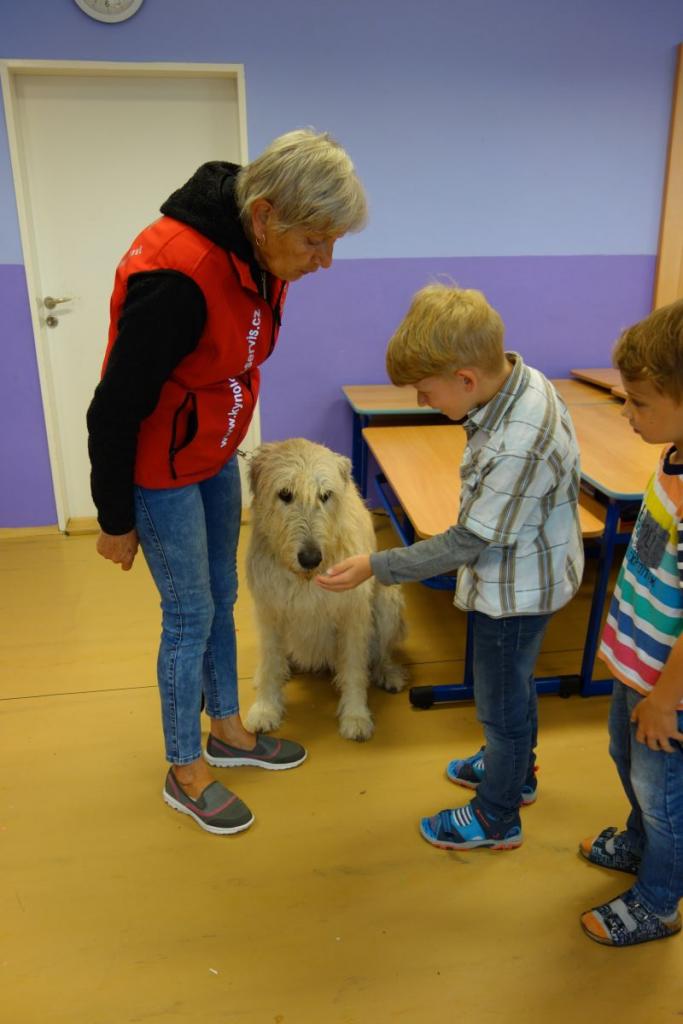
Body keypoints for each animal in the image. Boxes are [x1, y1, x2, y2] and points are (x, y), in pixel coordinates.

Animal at [244, 438, 406, 741]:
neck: (306, 579)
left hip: (388, 602)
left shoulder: (353, 614)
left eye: (325, 495)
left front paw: (355, 715)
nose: (310, 558)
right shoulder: (269, 611)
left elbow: (354, 667)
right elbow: (271, 663)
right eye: (285, 494)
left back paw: (387, 671)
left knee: (381, 652)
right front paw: (266, 708)